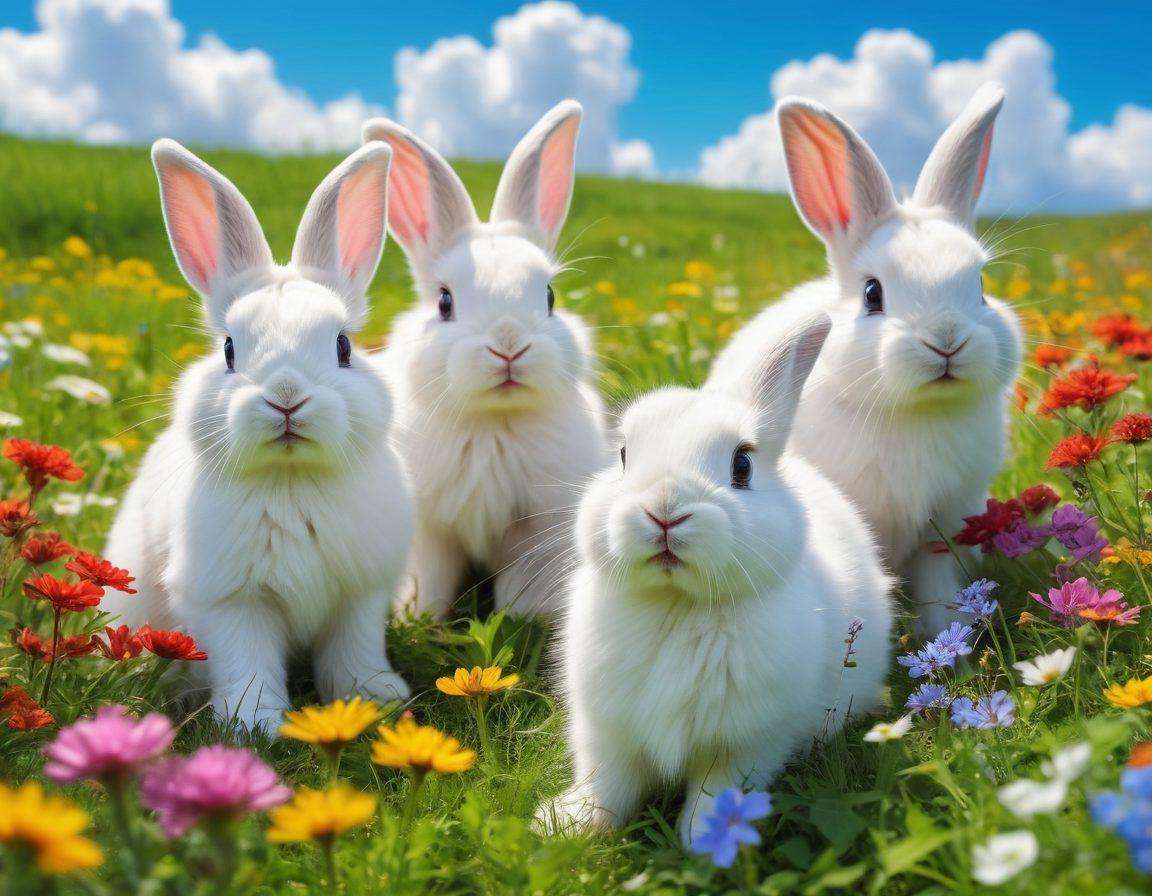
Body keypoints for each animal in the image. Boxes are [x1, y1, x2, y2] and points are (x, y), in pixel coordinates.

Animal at [100, 138, 414, 730]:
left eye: (342, 346)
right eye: (228, 349)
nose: (286, 395)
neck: (291, 480)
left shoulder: (359, 593)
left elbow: (353, 651)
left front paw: (372, 699)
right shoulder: (231, 603)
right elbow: (247, 664)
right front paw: (254, 724)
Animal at [361, 100, 609, 619]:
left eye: (550, 296)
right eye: (444, 302)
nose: (509, 343)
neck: (493, 423)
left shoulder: (532, 529)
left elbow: (520, 585)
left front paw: (521, 618)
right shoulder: (430, 528)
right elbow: (430, 575)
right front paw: (417, 614)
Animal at [540, 313, 894, 848]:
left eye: (742, 464)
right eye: (622, 455)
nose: (664, 509)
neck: (677, 604)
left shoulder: (749, 741)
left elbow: (717, 789)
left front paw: (708, 838)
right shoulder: (606, 730)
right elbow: (608, 782)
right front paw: (568, 825)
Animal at [706, 84, 1022, 637]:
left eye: (982, 287)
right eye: (873, 293)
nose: (946, 340)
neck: (917, 414)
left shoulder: (945, 532)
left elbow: (941, 596)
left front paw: (949, 649)